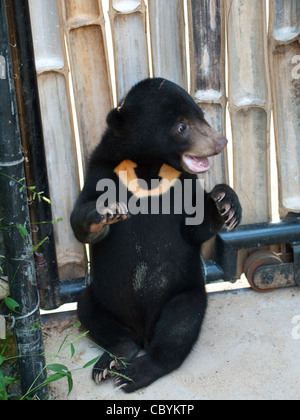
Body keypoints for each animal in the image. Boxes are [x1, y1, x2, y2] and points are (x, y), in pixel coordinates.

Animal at [70, 77, 241, 392]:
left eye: (201, 115)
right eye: (181, 127)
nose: (220, 142)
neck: (149, 166)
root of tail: (143, 330)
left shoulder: (184, 182)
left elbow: (195, 228)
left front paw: (225, 202)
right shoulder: (101, 170)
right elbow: (83, 222)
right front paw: (107, 210)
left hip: (184, 296)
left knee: (177, 331)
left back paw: (136, 373)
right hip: (98, 298)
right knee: (93, 315)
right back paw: (112, 360)